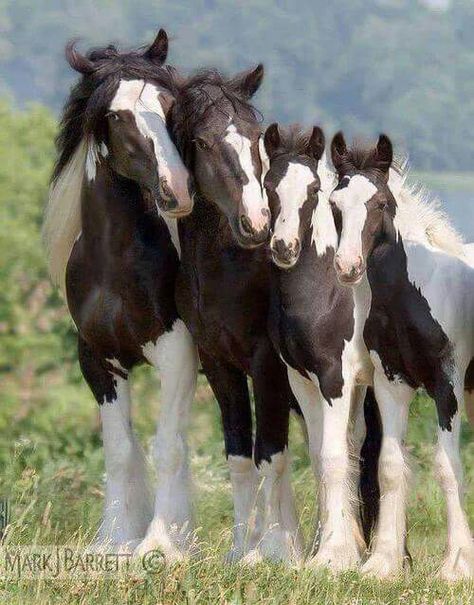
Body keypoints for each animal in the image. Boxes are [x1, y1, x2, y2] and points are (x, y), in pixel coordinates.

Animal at [43, 30, 199, 560]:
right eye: (116, 115)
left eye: (169, 105)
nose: (178, 190)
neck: (116, 264)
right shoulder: (98, 361)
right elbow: (120, 450)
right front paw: (114, 539)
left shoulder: (176, 354)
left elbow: (168, 446)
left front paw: (163, 543)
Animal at [262, 124, 380, 572]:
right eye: (269, 184)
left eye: (313, 189)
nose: (284, 247)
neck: (323, 294)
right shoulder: (302, 380)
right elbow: (321, 456)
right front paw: (336, 549)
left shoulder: (334, 379)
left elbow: (331, 457)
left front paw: (332, 557)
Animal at [330, 133, 474, 580]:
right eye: (335, 202)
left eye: (380, 203)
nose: (348, 266)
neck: (412, 294)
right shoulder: (391, 384)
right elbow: (390, 466)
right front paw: (383, 562)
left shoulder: (447, 386)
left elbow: (447, 466)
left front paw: (457, 565)